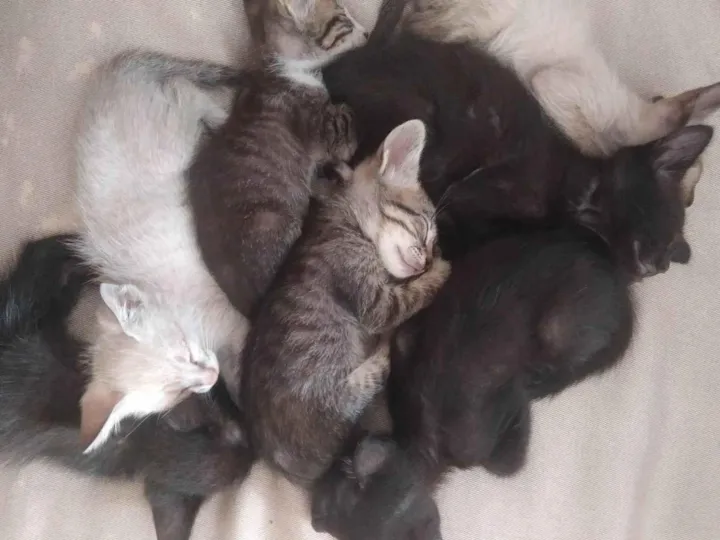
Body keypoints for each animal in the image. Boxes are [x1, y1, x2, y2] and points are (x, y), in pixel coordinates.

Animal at [72, 50, 251, 450]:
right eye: (179, 393)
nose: (209, 378)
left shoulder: (231, 318)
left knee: (185, 91)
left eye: (185, 352)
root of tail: (111, 75)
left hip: (172, 134)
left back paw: (222, 114)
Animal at [242, 119, 450, 484]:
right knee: (373, 373)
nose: (425, 261)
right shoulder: (376, 304)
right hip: (335, 394)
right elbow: (413, 295)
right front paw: (443, 269)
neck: (344, 217)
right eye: (424, 228)